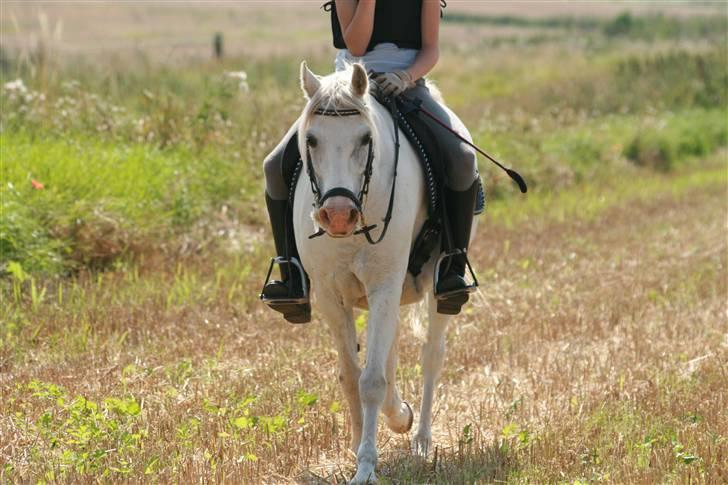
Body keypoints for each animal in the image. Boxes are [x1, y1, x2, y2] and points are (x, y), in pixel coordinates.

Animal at [292, 62, 474, 482]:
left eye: (364, 138)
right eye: (311, 140)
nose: (338, 215)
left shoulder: (384, 286)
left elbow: (371, 380)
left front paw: (366, 466)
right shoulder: (331, 297)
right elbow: (351, 376)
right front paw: (359, 443)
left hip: (433, 292)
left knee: (431, 355)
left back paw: (420, 438)